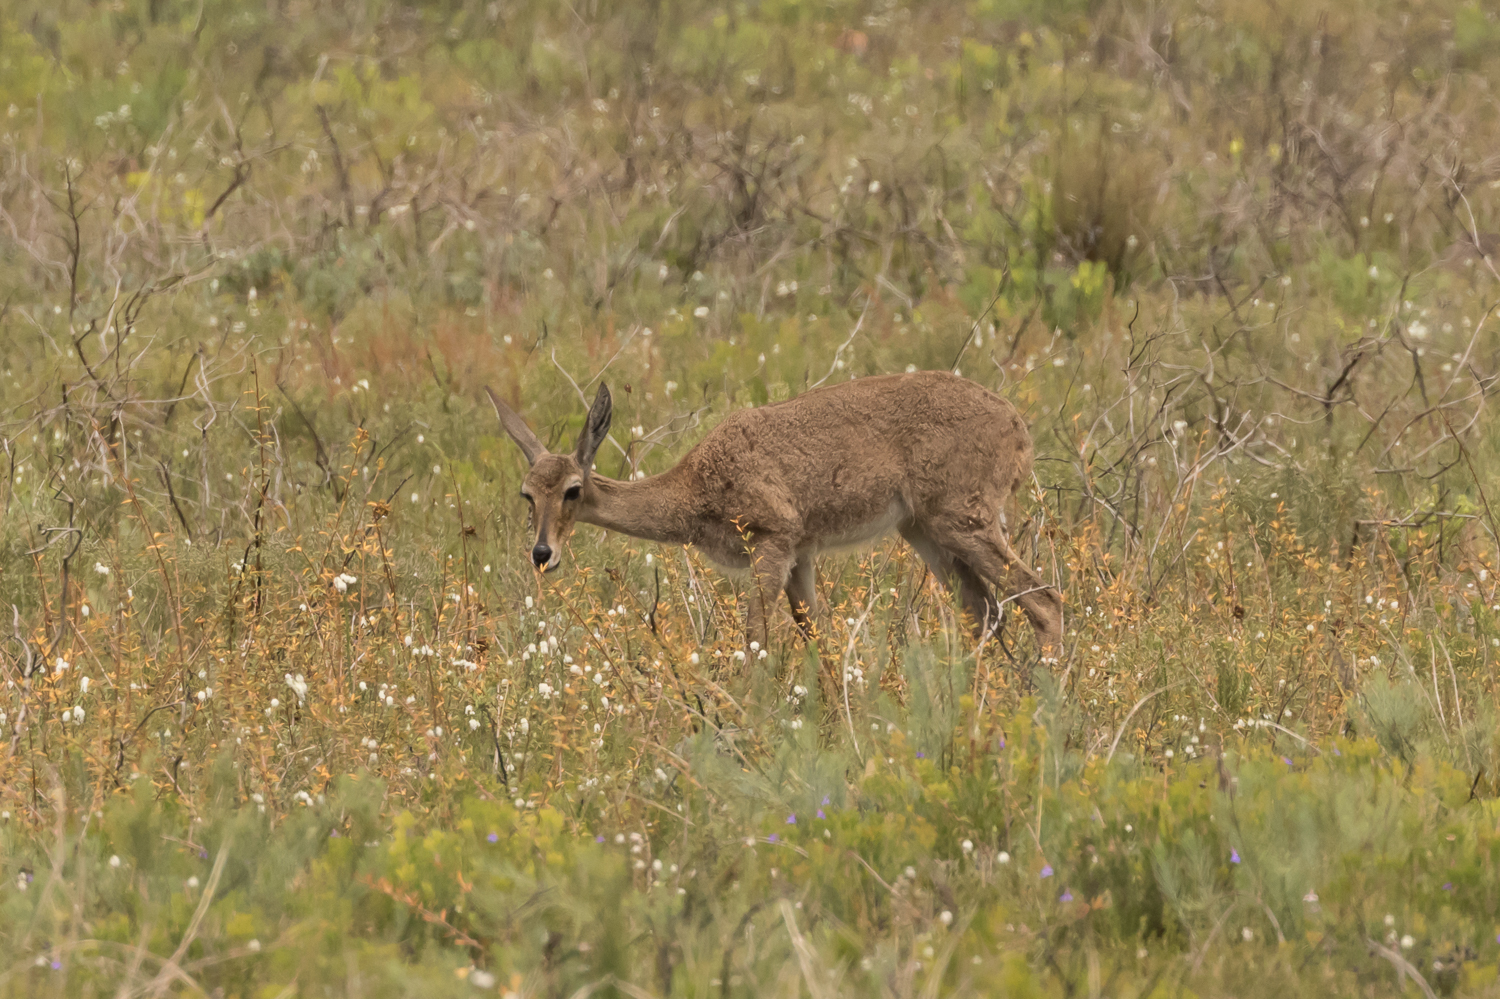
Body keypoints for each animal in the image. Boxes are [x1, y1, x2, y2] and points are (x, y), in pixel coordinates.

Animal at [486, 369, 1062, 657]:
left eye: (573, 490)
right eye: (527, 494)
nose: (542, 553)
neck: (695, 486)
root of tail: (1018, 426)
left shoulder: (772, 543)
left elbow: (756, 639)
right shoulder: (801, 555)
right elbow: (816, 635)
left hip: (962, 524)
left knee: (1045, 600)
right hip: (923, 532)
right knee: (985, 612)